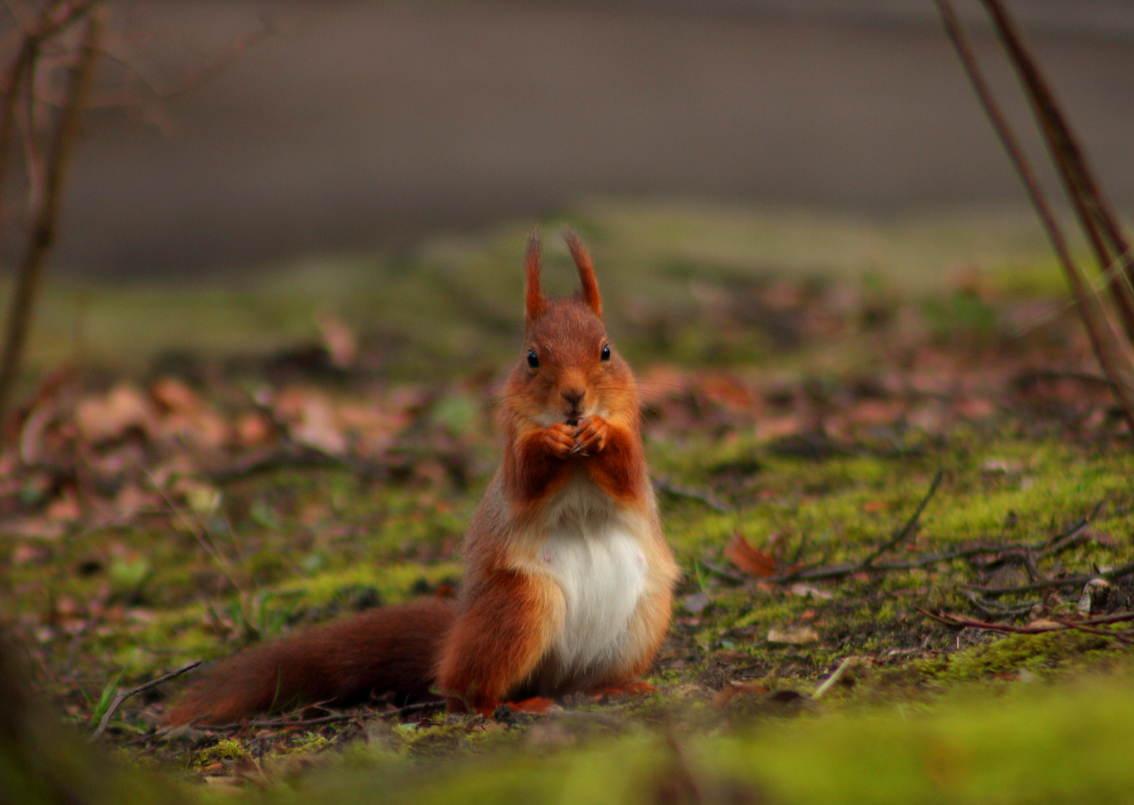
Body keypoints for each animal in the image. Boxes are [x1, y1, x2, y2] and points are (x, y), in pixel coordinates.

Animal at [166, 231, 675, 725]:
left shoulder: (634, 466)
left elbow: (627, 468)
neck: (576, 458)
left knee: (583, 681)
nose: (574, 397)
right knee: (461, 689)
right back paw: (509, 706)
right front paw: (549, 439)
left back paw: (616, 688)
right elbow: (525, 477)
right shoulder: (513, 465)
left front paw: (600, 431)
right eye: (531, 358)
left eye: (606, 351)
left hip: (644, 618)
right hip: (521, 608)